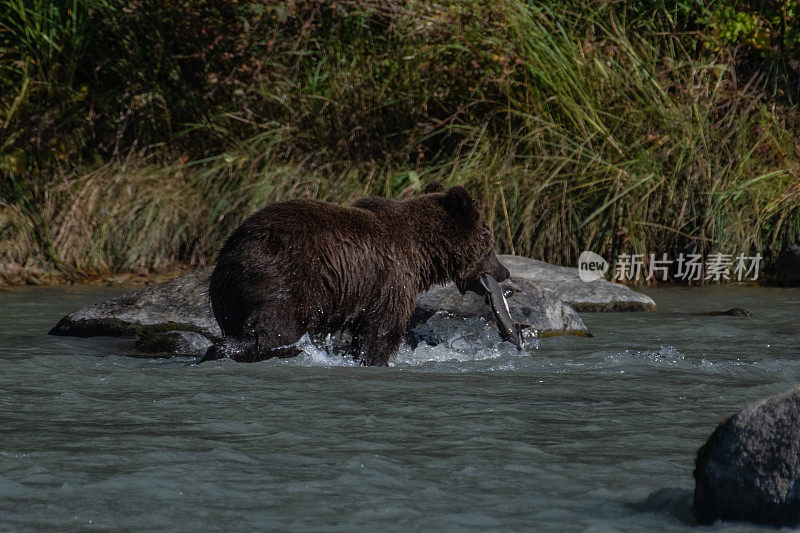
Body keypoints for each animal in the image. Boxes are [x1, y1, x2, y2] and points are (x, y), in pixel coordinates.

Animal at [203, 184, 510, 366]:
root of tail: (229, 253)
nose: (504, 272)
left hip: (230, 296)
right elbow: (381, 331)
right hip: (283, 278)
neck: (423, 254)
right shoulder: (392, 279)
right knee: (277, 330)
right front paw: (374, 359)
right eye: (491, 244)